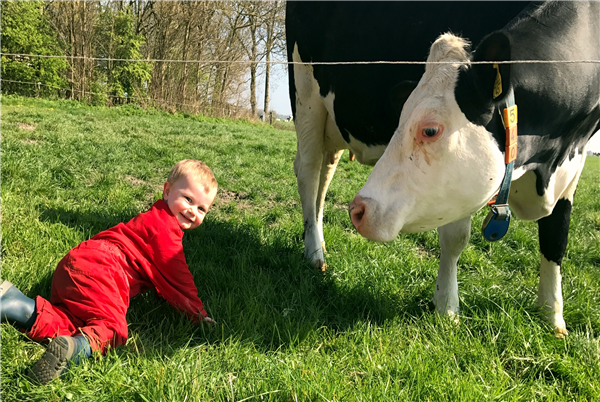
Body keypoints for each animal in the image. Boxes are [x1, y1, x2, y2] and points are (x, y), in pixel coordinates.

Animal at [288, 2, 528, 270]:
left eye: (429, 131)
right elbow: (455, 237)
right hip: (306, 97)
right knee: (309, 172)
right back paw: (313, 251)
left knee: (325, 173)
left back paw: (319, 240)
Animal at [350, 0, 596, 336]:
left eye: (430, 130)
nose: (357, 210)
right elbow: (454, 240)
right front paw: (446, 307)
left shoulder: (573, 163)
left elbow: (556, 238)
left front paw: (553, 317)